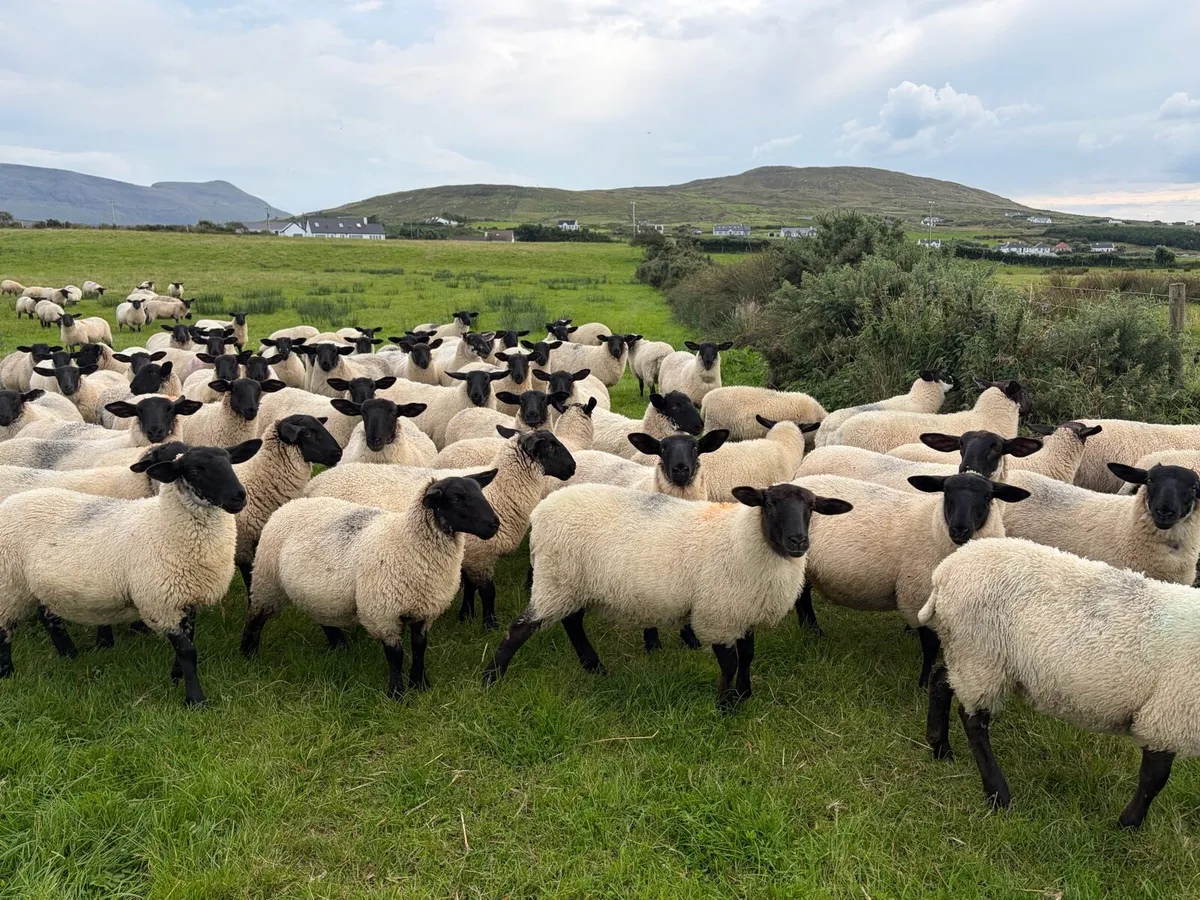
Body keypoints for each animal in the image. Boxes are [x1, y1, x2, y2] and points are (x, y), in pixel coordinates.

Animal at [308, 430, 575, 630]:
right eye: (551, 447)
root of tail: (314, 483)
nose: (572, 467)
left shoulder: (469, 554)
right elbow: (488, 592)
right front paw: (490, 624)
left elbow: (469, 587)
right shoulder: (481, 556)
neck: (502, 490)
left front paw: (466, 614)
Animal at [483, 481, 853, 709]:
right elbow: (731, 661)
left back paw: (594, 666)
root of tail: (541, 509)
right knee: (521, 628)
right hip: (556, 579)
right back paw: (492, 676)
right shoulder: (717, 613)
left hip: (572, 583)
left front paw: (744, 694)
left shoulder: (743, 610)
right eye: (770, 504)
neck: (740, 540)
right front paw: (725, 705)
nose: (798, 541)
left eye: (812, 507)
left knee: (572, 622)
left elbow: (748, 655)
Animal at [792, 472, 1030, 687]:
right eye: (946, 492)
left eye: (988, 496)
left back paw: (810, 631)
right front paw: (924, 682)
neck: (933, 524)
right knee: (802, 597)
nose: (959, 530)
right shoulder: (917, 595)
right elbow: (930, 644)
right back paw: (813, 631)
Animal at [920, 537, 1200, 828]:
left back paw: (940, 748)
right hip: (980, 653)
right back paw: (998, 794)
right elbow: (1154, 779)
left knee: (940, 681)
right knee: (973, 720)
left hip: (967, 655)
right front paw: (1128, 823)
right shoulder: (1169, 717)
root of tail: (944, 572)